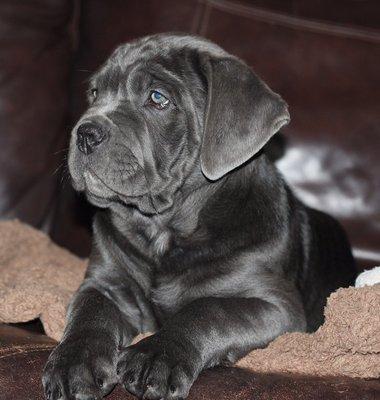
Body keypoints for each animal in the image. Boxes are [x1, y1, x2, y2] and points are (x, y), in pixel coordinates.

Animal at [42, 33, 356, 400]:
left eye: (158, 98)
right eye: (94, 93)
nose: (84, 133)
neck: (164, 230)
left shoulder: (277, 305)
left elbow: (208, 310)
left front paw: (156, 356)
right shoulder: (106, 283)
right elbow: (89, 312)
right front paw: (73, 363)